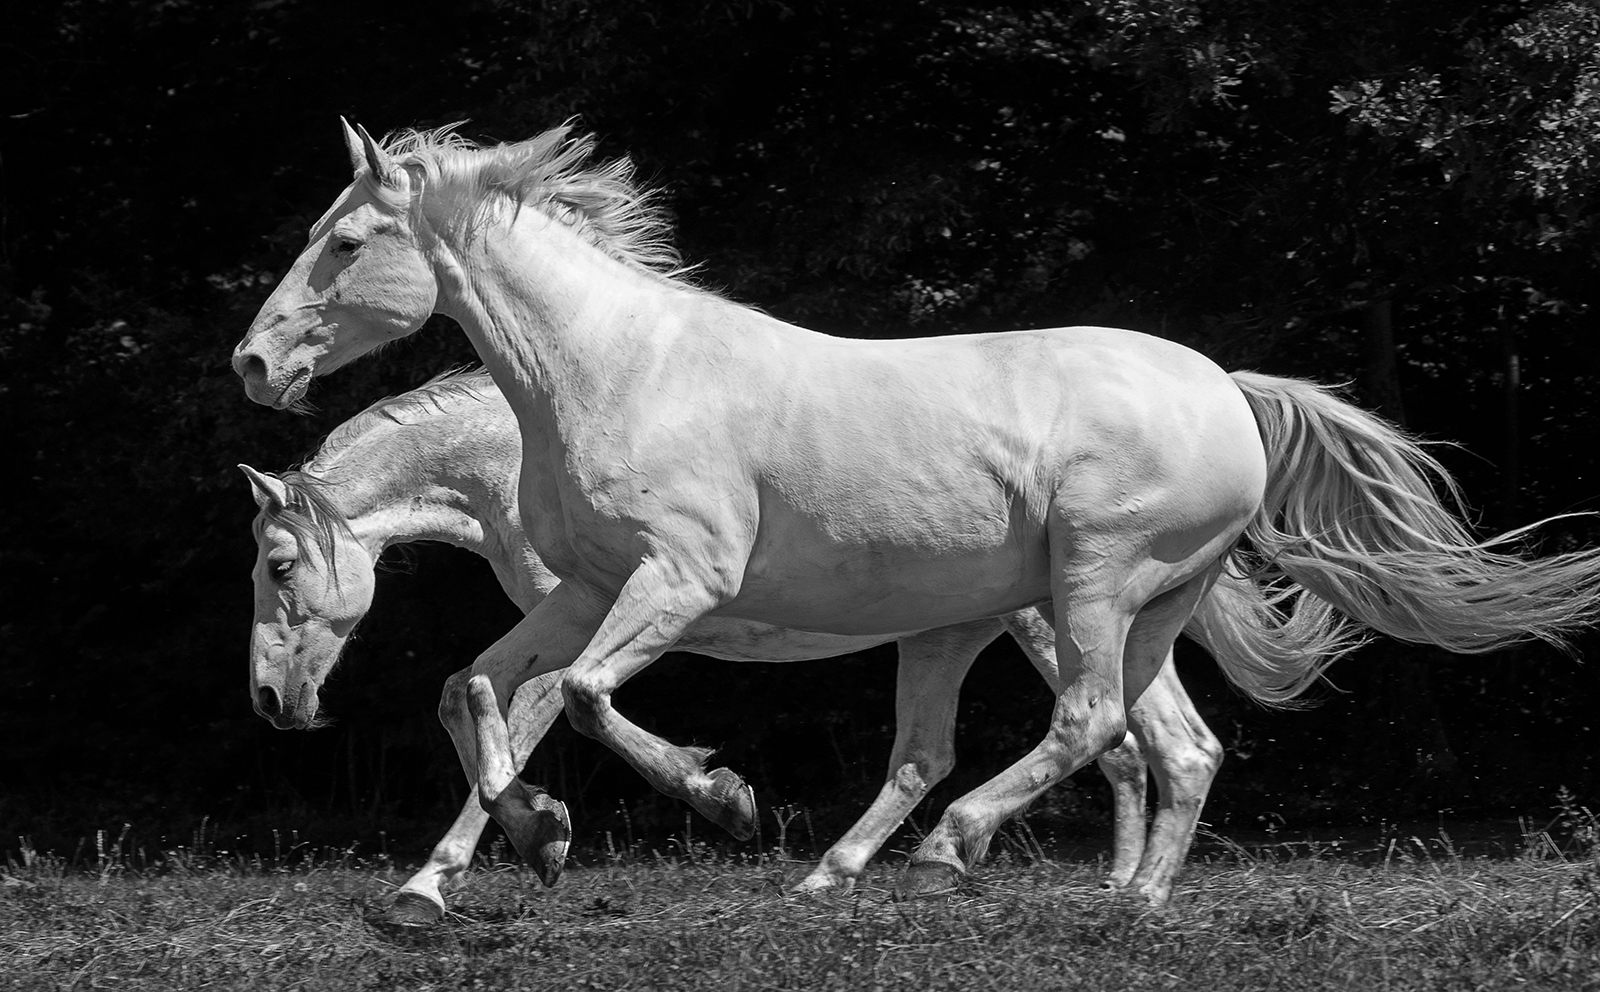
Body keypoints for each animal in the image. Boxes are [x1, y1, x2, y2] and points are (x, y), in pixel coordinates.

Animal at [240, 371, 1350, 921]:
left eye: (279, 565)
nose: (268, 702)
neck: (520, 458)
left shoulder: (587, 618)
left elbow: (521, 721)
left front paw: (451, 874)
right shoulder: (563, 618)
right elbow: (464, 698)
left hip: (1055, 619)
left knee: (1122, 735)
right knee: (1146, 744)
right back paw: (1117, 890)